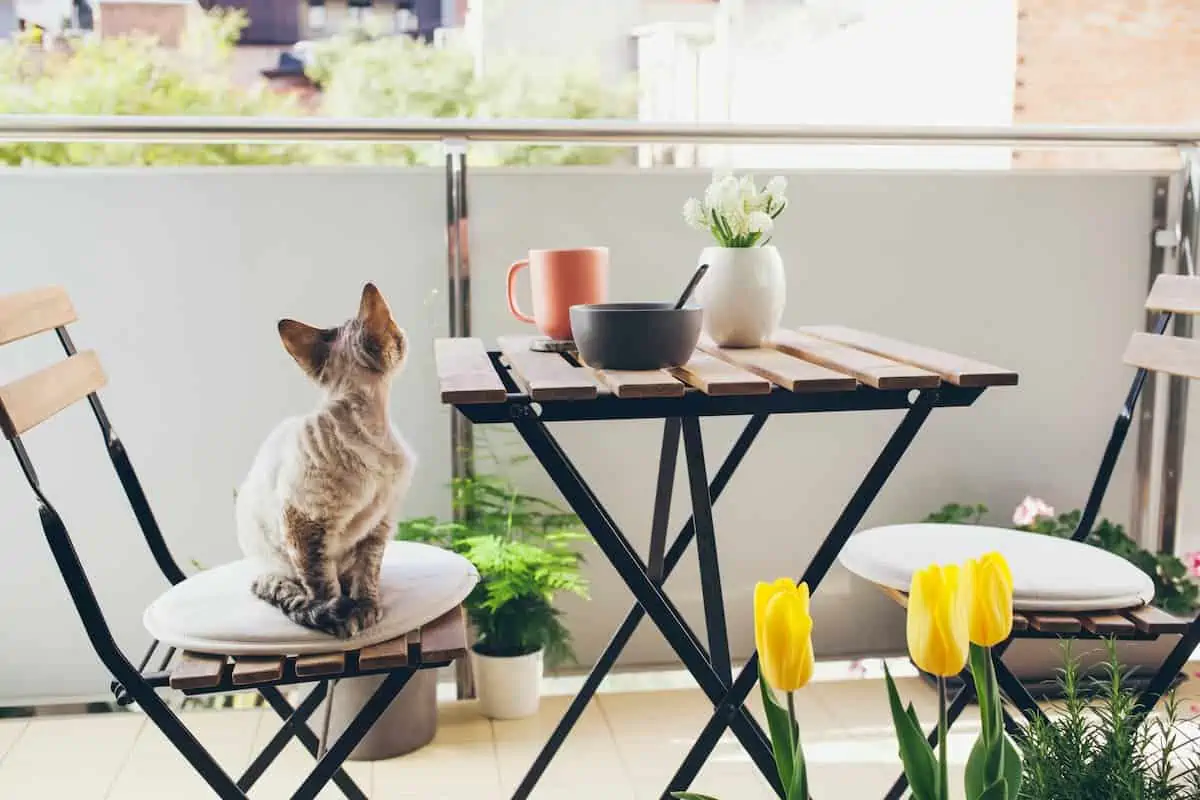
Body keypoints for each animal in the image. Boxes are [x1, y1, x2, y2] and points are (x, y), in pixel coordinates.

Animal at [236, 281, 420, 638]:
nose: (404, 333)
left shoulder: (379, 524)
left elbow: (367, 573)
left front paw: (366, 607)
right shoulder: (306, 523)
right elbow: (322, 585)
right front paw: (342, 620)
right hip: (274, 554)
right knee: (295, 587)